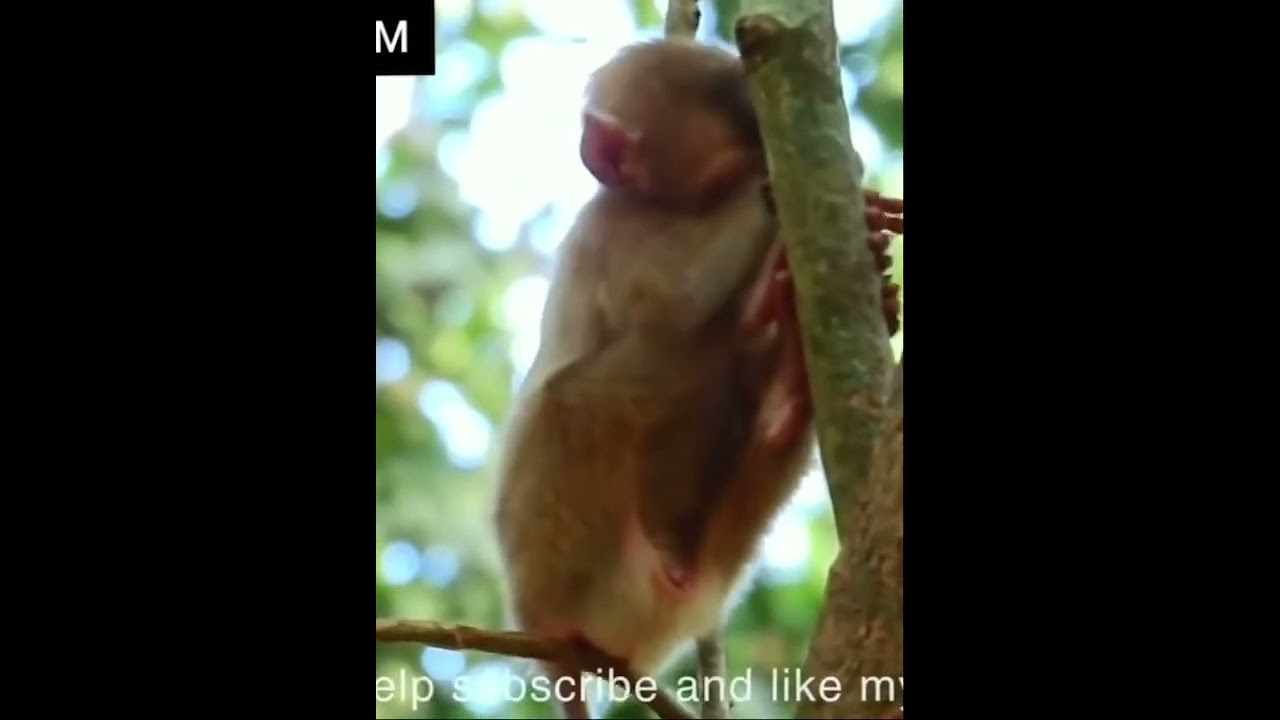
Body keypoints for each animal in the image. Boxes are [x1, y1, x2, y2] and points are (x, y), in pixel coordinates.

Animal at [492, 37, 903, 719]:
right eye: (742, 130)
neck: (673, 206)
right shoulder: (613, 228)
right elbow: (671, 299)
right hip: (567, 556)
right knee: (610, 382)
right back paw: (763, 314)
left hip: (703, 573)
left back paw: (787, 387)